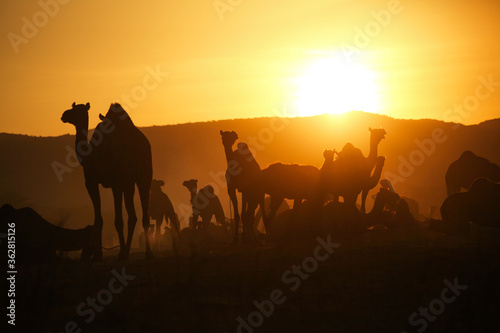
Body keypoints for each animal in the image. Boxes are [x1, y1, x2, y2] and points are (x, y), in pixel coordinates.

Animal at [60, 102, 152, 260]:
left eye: (75, 110)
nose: (64, 115)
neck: (87, 156)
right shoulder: (118, 184)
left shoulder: (93, 182)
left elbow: (102, 219)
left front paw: (98, 254)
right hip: (144, 178)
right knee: (143, 216)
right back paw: (147, 253)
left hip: (126, 179)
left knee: (130, 217)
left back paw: (126, 253)